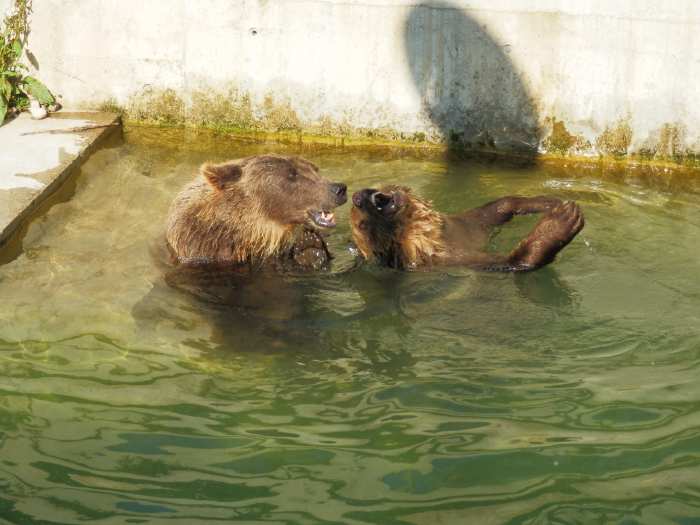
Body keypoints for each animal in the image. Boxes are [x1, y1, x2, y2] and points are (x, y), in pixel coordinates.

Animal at [350, 185, 584, 270]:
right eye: (362, 225)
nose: (358, 196)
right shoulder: (449, 259)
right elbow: (508, 262)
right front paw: (562, 220)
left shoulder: (466, 228)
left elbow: (495, 210)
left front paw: (547, 202)